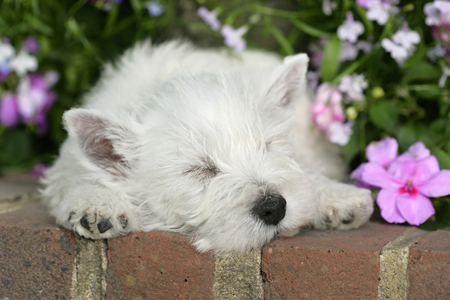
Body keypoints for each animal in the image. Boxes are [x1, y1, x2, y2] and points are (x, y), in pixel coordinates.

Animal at [42, 40, 372, 253]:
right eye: (199, 169)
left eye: (267, 145)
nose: (274, 207)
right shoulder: (66, 165)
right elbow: (76, 178)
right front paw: (99, 203)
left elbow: (305, 170)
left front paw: (337, 196)